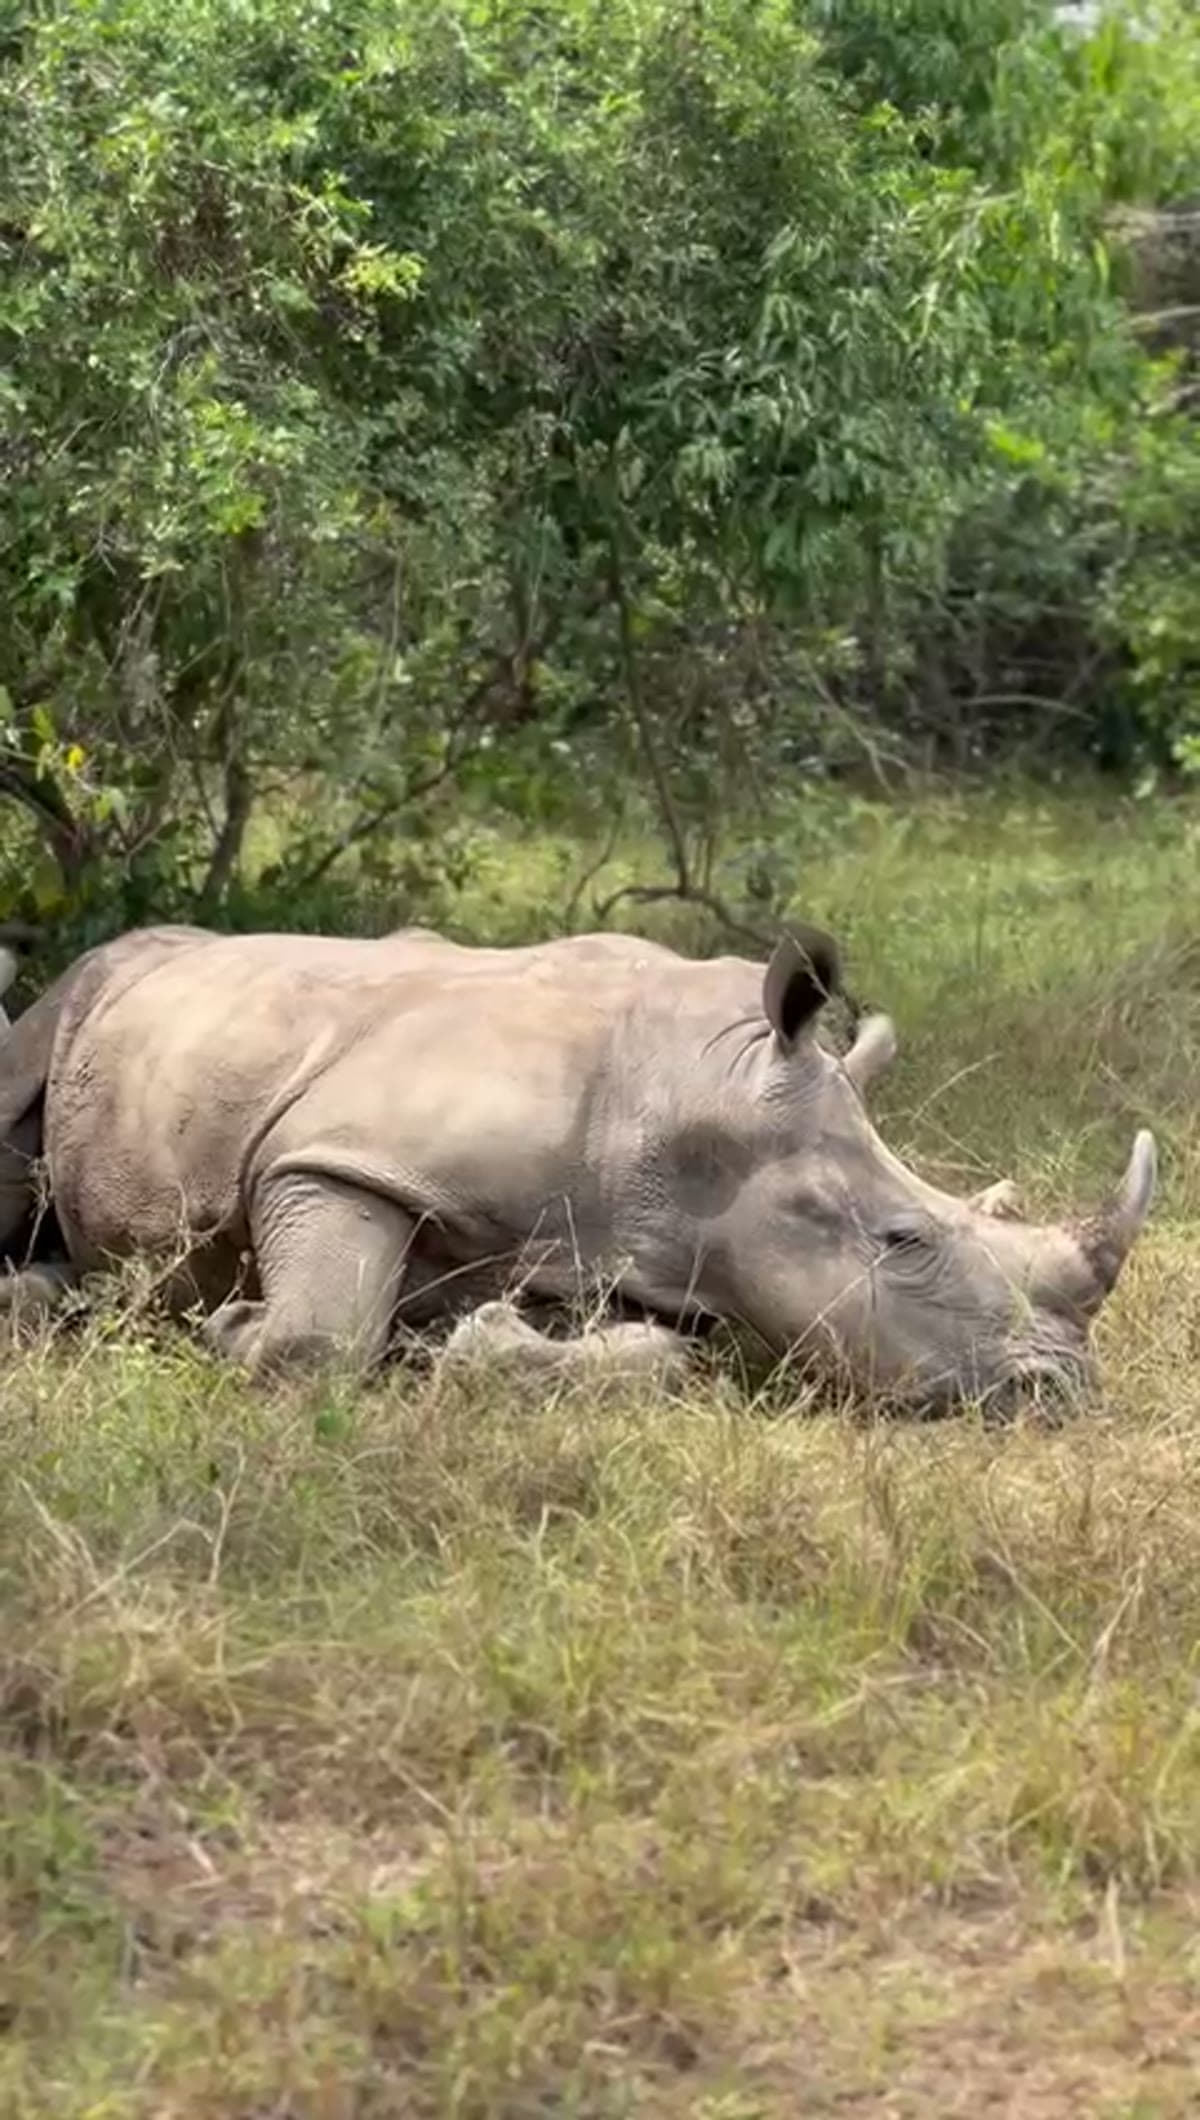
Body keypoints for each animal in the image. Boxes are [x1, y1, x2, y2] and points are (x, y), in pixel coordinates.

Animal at [0, 919, 1157, 1410]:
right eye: (902, 1240)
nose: (1063, 1391)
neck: (698, 1106)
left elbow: (667, 1356)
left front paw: (460, 1341)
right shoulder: (340, 1154)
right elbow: (314, 1337)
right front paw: (240, 1328)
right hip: (76, 993)